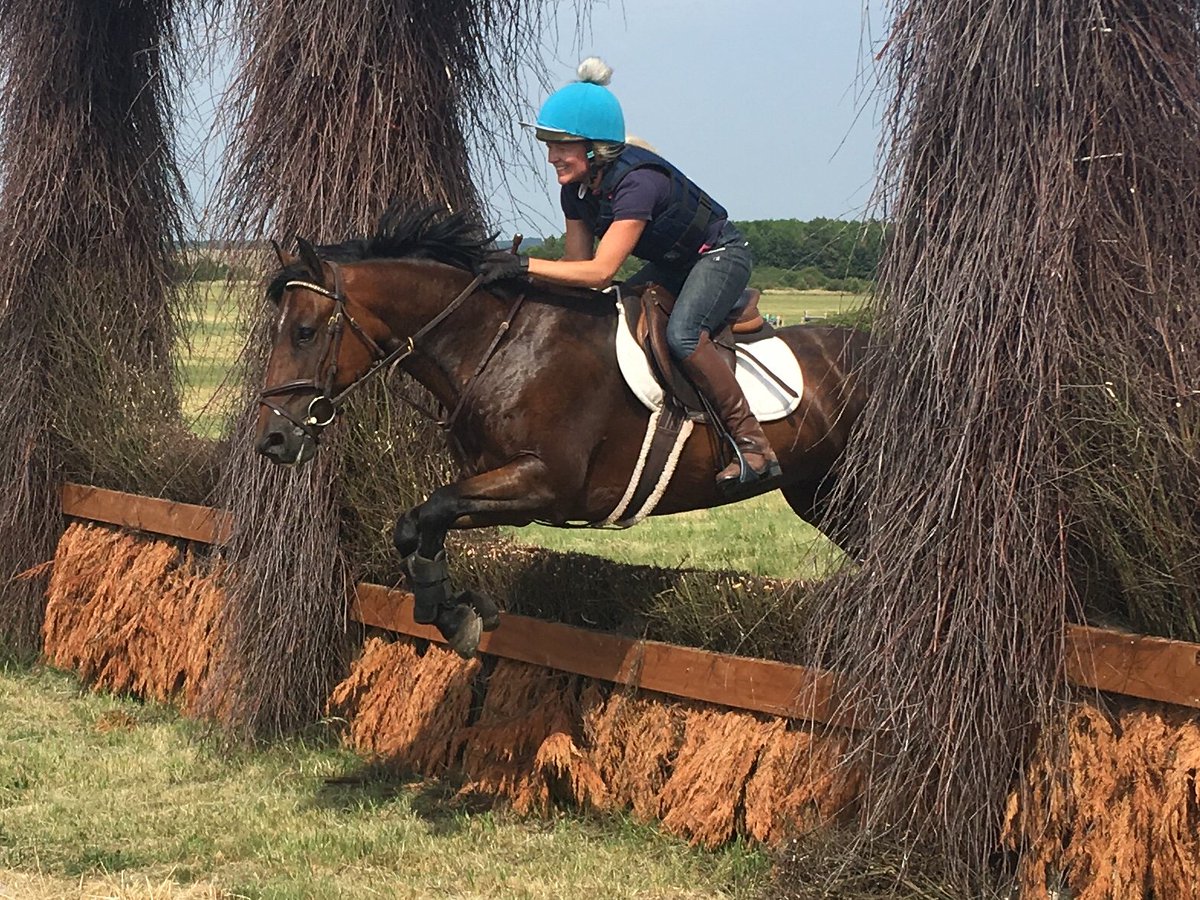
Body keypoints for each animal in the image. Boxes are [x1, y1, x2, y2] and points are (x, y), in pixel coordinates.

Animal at [255, 206, 868, 657]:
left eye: (305, 332)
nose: (272, 440)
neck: (496, 343)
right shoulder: (505, 488)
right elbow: (418, 522)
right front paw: (455, 608)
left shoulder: (545, 482)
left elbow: (433, 510)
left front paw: (453, 612)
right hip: (823, 495)